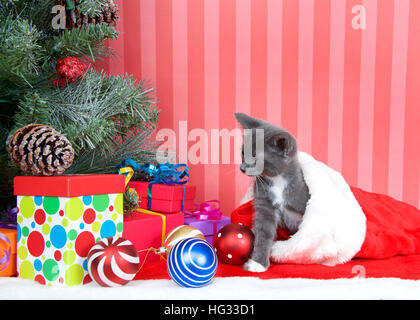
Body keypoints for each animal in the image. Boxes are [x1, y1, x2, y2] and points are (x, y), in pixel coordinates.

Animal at [235, 113, 310, 272]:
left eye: (255, 158)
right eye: (243, 153)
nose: (242, 168)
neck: (278, 181)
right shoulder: (265, 202)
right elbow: (264, 230)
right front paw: (258, 263)